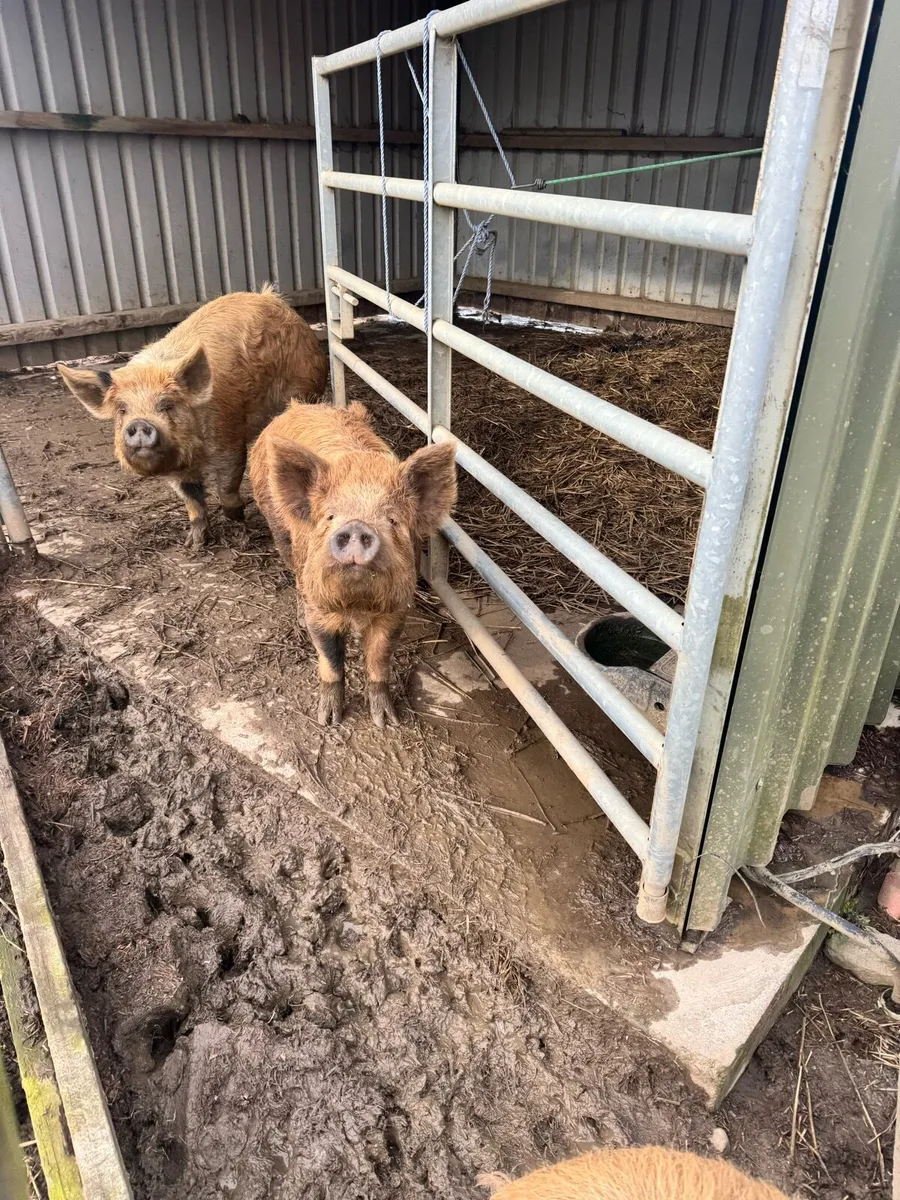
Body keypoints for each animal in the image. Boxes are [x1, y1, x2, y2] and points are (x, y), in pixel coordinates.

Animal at [57, 286, 327, 551]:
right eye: (122, 410)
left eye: (167, 405)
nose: (139, 423)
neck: (195, 455)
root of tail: (271, 297)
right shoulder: (175, 472)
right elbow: (192, 500)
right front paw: (194, 545)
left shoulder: (228, 438)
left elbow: (227, 482)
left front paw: (236, 516)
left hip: (304, 387)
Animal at [249, 401, 457, 728]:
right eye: (330, 516)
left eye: (392, 519)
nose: (358, 526)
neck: (357, 604)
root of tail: (299, 406)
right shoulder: (319, 608)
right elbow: (330, 658)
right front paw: (328, 720)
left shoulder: (396, 610)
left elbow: (380, 659)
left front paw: (387, 722)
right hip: (278, 529)